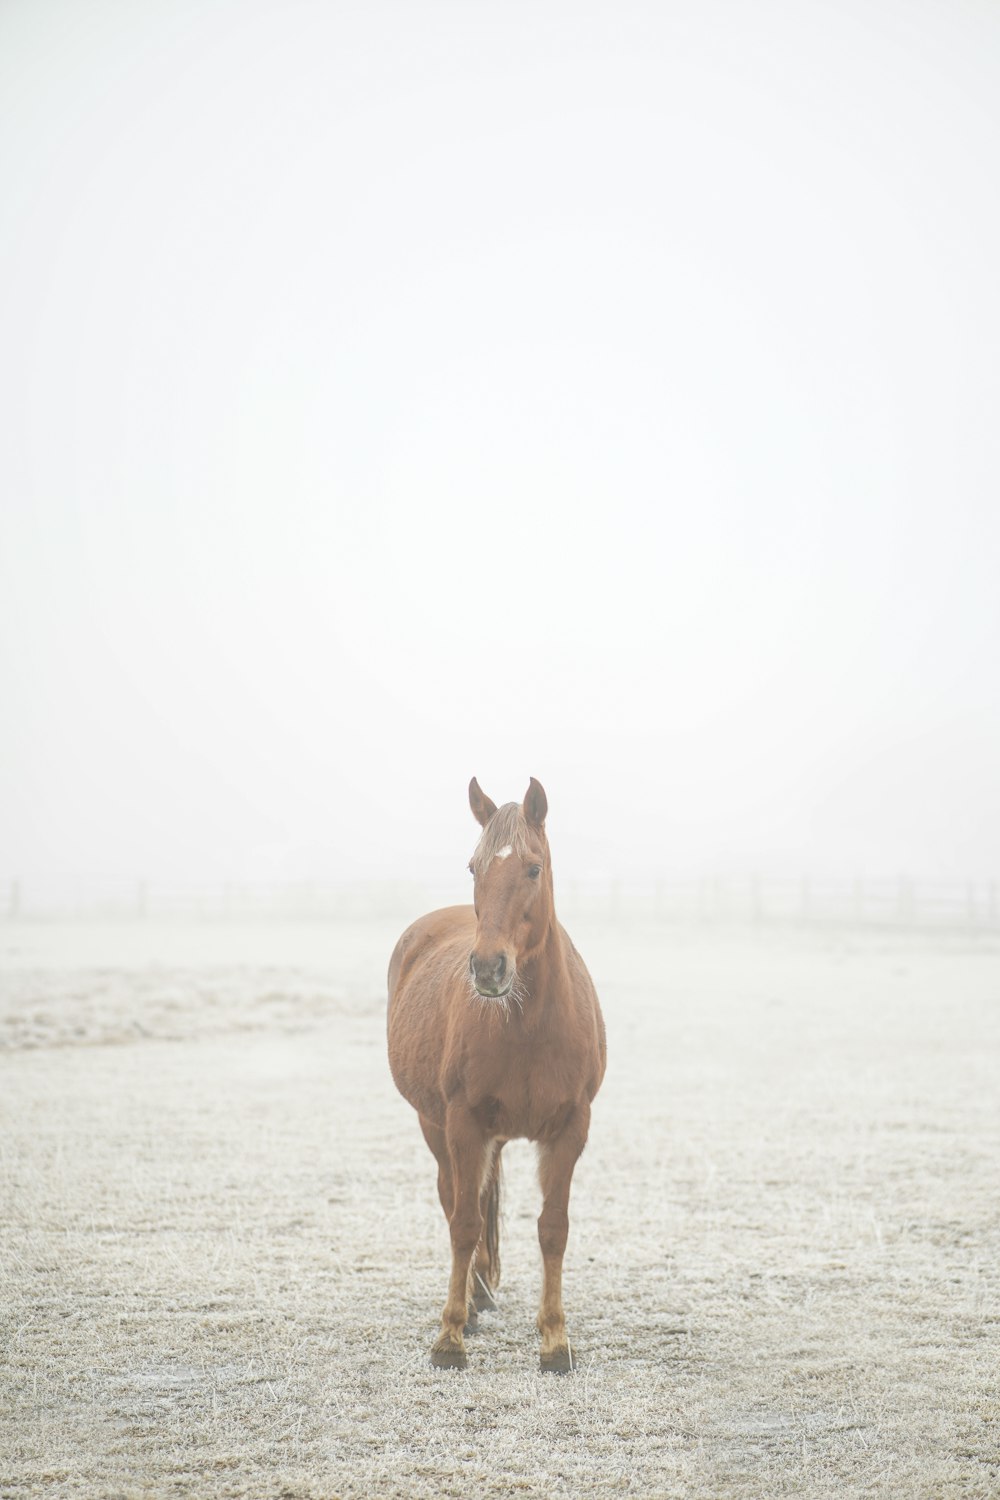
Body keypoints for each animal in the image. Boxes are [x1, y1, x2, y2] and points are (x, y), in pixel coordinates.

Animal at [386, 780, 605, 1374]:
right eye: (474, 867)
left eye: (533, 868)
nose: (488, 968)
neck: (528, 1027)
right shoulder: (464, 1123)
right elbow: (463, 1222)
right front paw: (449, 1337)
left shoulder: (571, 1127)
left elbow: (553, 1228)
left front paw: (554, 1341)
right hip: (434, 1124)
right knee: (454, 1198)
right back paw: (474, 1299)